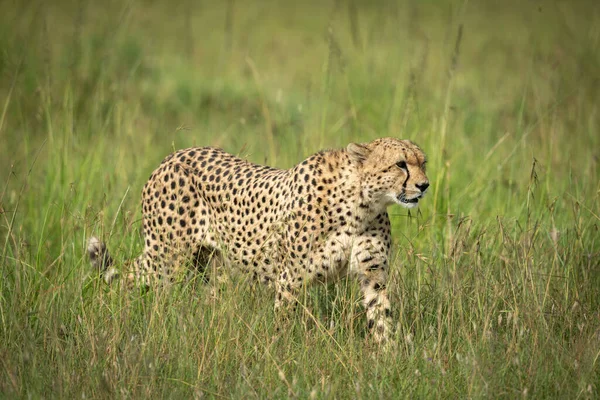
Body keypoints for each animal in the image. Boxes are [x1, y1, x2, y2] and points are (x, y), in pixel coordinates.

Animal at [88, 138, 426, 344]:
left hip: (211, 268)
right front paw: (281, 353)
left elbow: (381, 317)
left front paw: (387, 358)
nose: (424, 185)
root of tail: (173, 155)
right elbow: (283, 320)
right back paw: (108, 310)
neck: (361, 204)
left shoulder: (373, 275)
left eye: (423, 162)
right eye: (400, 164)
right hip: (165, 259)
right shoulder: (290, 278)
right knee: (127, 277)